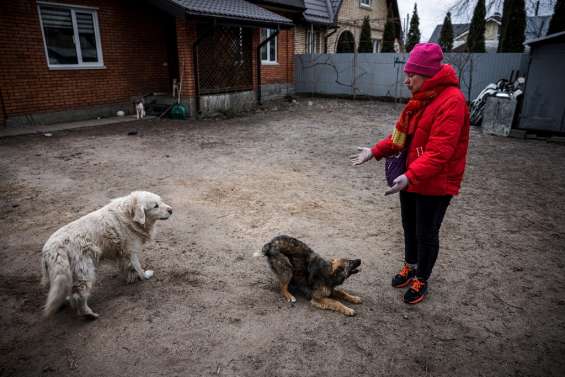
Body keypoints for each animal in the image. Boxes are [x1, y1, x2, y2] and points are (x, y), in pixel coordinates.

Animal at [40, 191, 172, 318]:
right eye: (156, 206)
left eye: (161, 201)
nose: (171, 210)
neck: (129, 214)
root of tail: (51, 248)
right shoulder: (131, 250)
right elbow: (138, 267)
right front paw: (145, 275)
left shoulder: (122, 253)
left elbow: (128, 267)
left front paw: (131, 277)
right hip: (85, 270)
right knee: (79, 294)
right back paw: (89, 314)